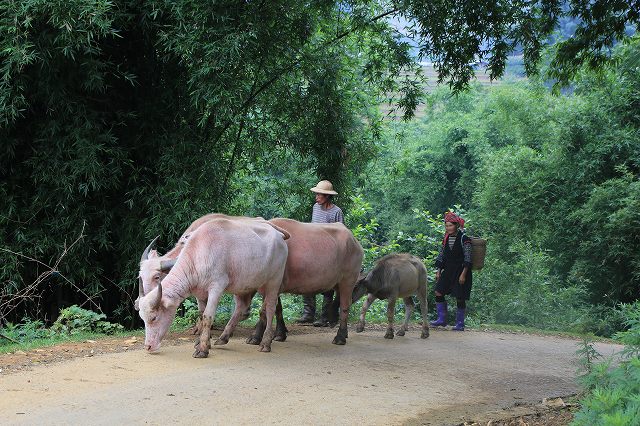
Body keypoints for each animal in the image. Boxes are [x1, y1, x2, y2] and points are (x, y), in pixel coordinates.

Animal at [137, 218, 288, 358]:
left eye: (154, 318)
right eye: (142, 319)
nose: (148, 346)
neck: (199, 254)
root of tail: (279, 236)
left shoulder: (216, 288)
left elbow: (208, 316)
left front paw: (202, 349)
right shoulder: (200, 293)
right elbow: (201, 315)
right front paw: (202, 342)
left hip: (274, 281)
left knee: (270, 307)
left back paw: (265, 342)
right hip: (246, 285)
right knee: (242, 307)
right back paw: (223, 338)